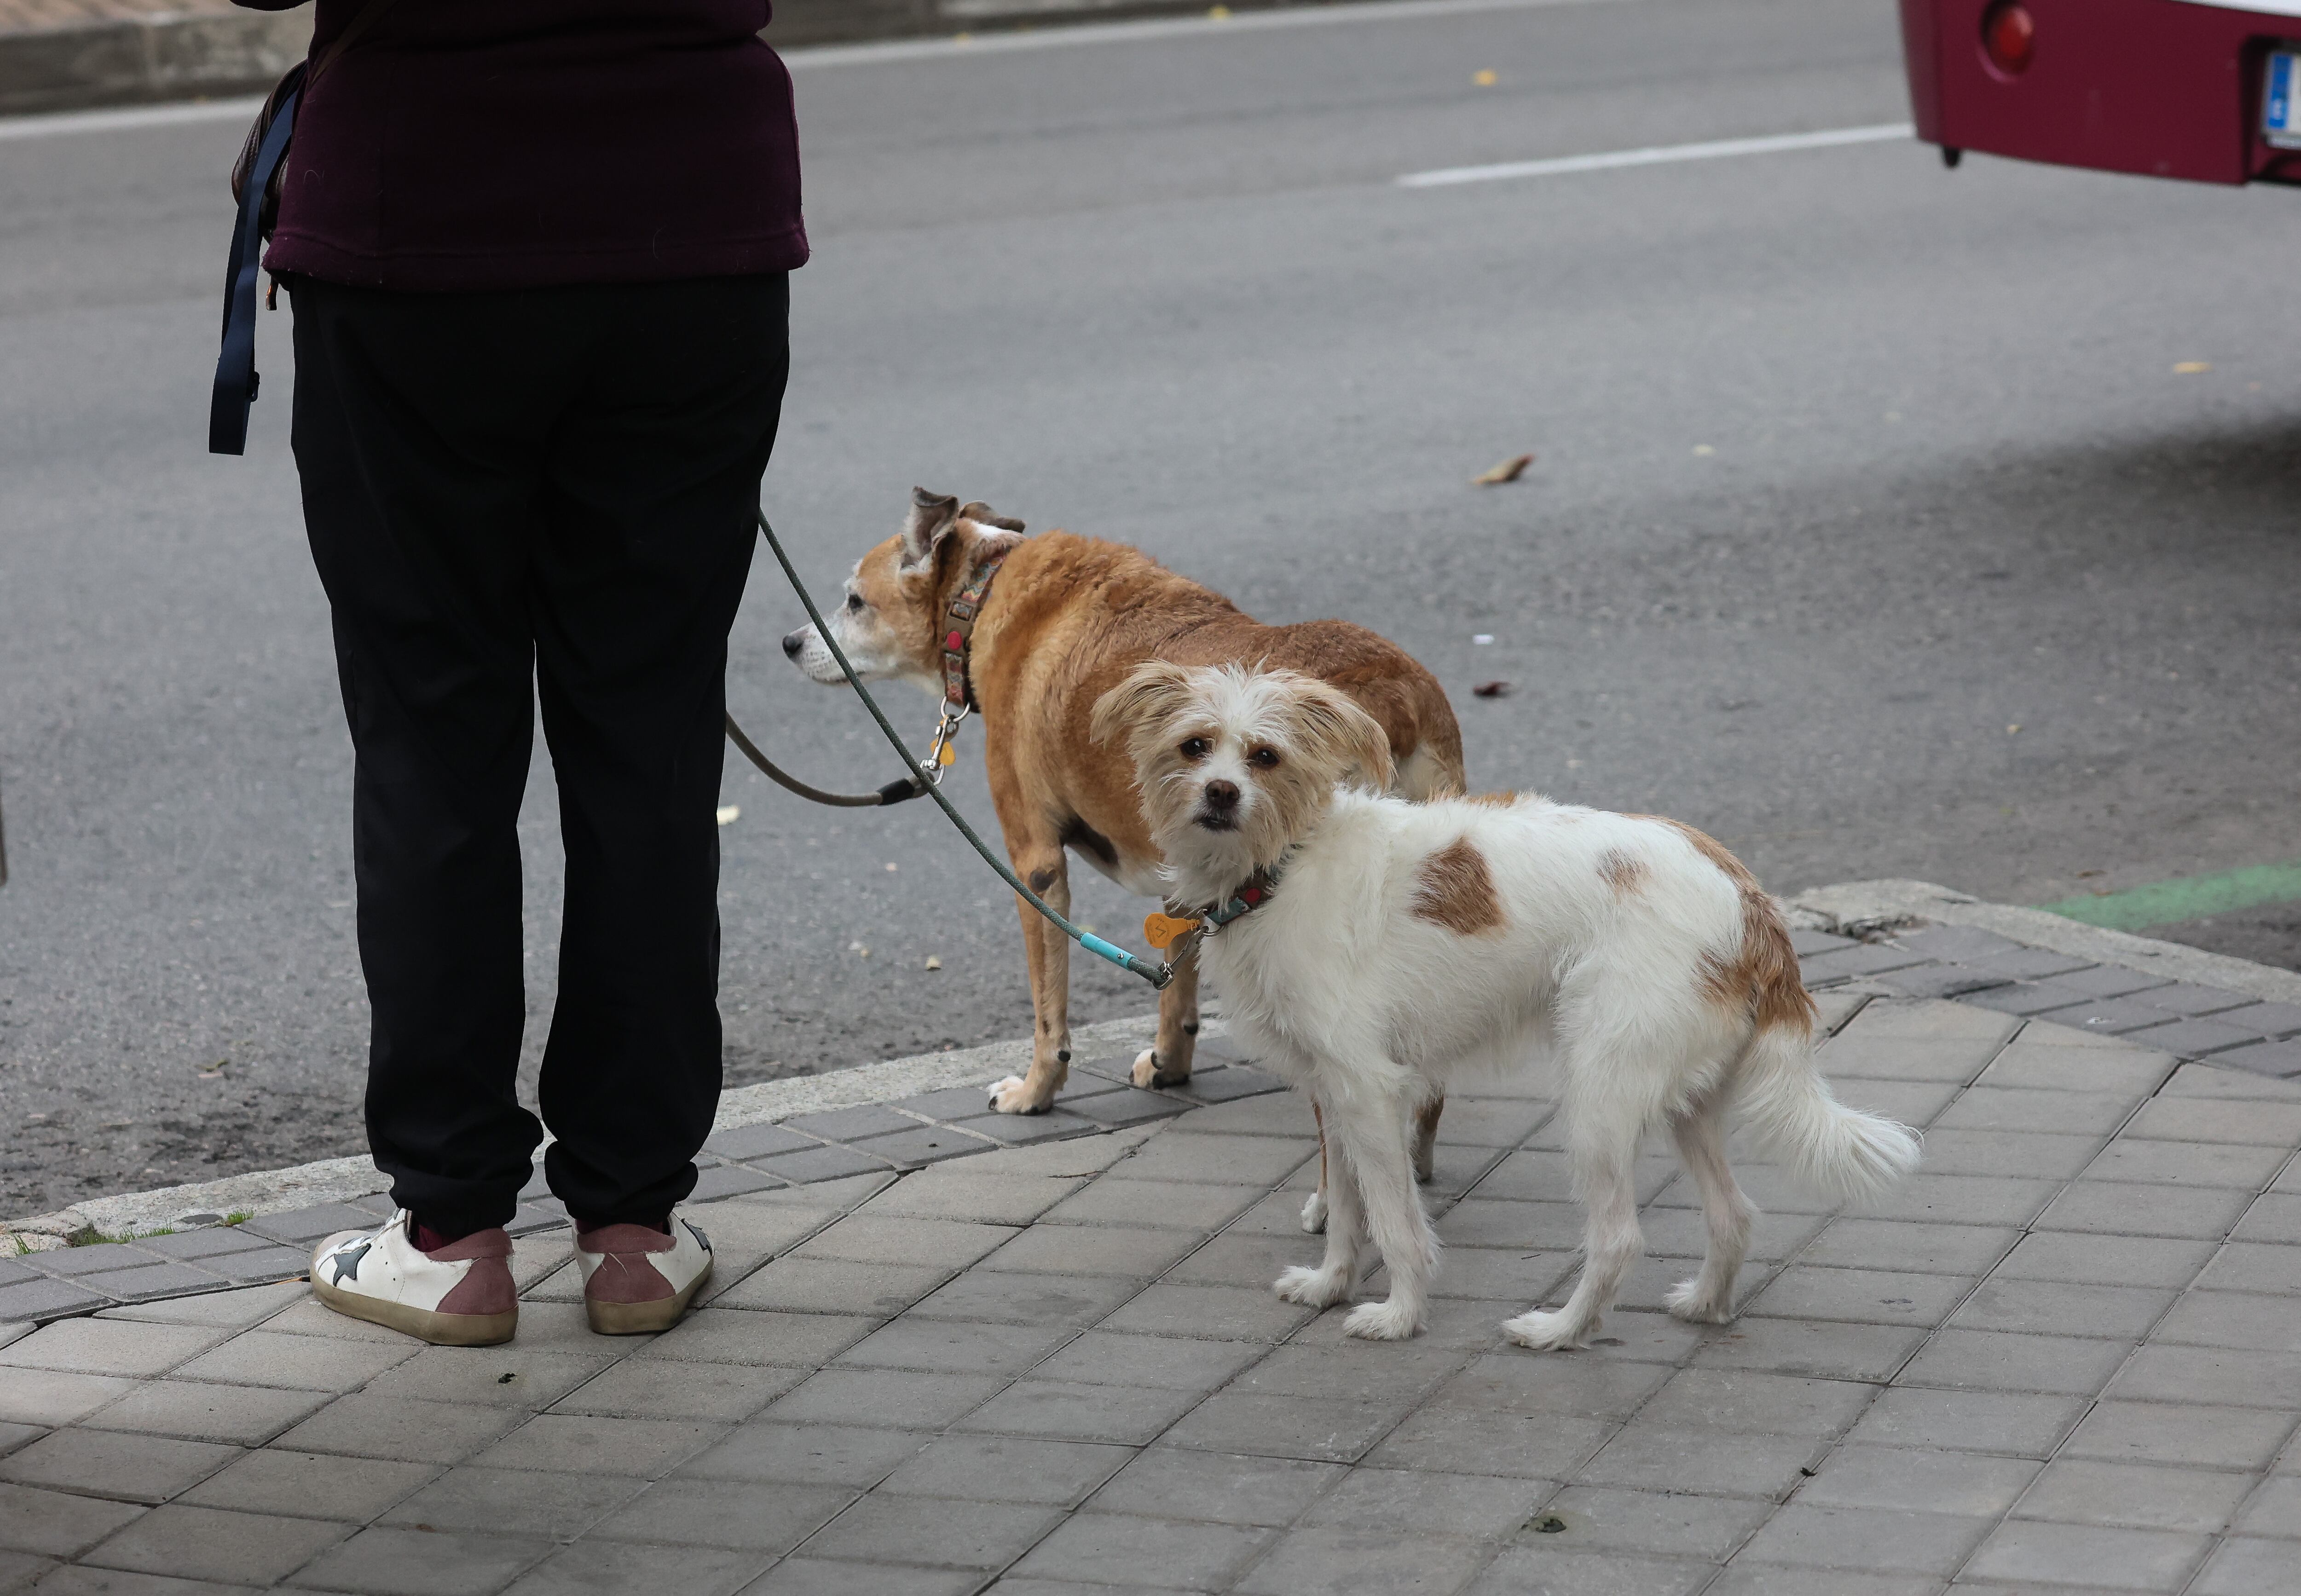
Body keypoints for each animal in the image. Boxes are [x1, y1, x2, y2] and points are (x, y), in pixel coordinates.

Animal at [782, 485, 1463, 1150]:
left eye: (854, 601)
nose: (790, 643)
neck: (985, 591)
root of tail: (1388, 694)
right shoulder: (1184, 861)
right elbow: (1178, 981)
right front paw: (1170, 1062)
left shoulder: (1036, 867)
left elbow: (1049, 1008)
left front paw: (1036, 1091)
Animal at [1095, 662, 1924, 1352]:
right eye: (1195, 746)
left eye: (1264, 756)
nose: (1221, 793)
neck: (1285, 864)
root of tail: (1750, 899)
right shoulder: (1334, 1095)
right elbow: (1348, 1207)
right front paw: (1330, 1283)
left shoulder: (1369, 1090)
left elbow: (1393, 1217)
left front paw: (1399, 1313)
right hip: (1685, 1097)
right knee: (1734, 1214)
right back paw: (1704, 1306)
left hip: (1598, 1097)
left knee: (1619, 1237)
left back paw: (1561, 1330)